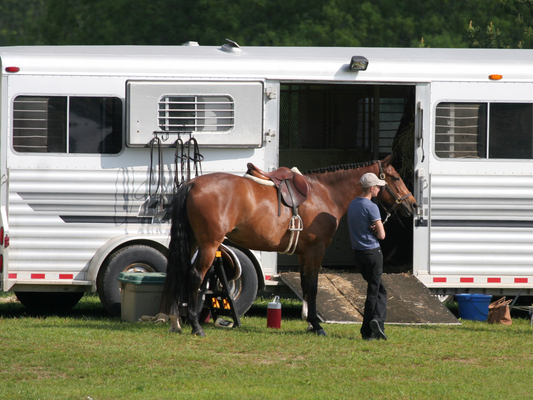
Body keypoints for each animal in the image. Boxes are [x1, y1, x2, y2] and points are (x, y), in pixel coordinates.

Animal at [160, 155, 418, 336]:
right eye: (396, 177)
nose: (413, 205)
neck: (324, 192)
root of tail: (192, 183)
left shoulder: (304, 253)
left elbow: (305, 285)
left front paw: (309, 322)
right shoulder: (316, 250)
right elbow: (313, 286)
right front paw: (316, 325)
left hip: (195, 243)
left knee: (180, 273)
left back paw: (176, 321)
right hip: (208, 244)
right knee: (195, 276)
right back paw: (195, 325)